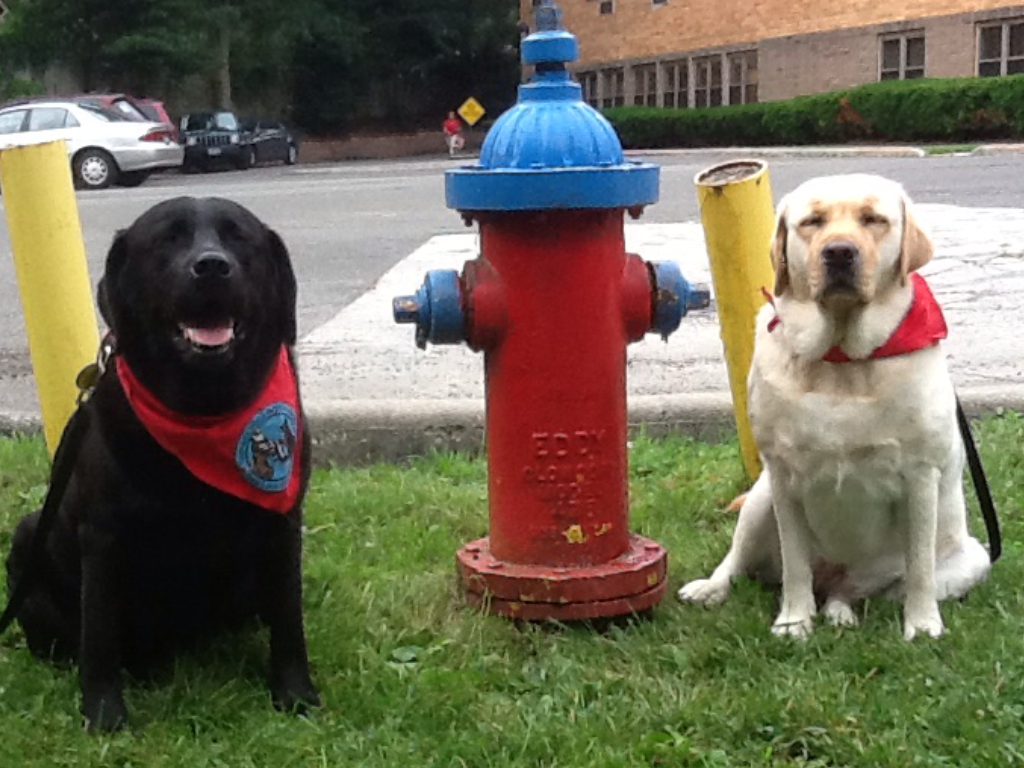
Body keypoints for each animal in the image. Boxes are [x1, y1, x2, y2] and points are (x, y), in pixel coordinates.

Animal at [5, 197, 320, 731]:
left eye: (238, 237)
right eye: (167, 239)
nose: (211, 265)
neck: (204, 409)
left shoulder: (282, 523)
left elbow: (289, 619)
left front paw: (296, 694)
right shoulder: (103, 535)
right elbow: (99, 636)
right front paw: (103, 714)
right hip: (30, 534)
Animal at [678, 174, 991, 640]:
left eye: (874, 219)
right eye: (812, 222)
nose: (840, 252)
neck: (841, 358)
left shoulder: (920, 476)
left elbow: (919, 567)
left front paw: (922, 626)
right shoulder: (783, 476)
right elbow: (795, 565)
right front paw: (793, 621)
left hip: (972, 558)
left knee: (858, 590)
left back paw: (841, 611)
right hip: (760, 499)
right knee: (739, 561)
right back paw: (711, 589)